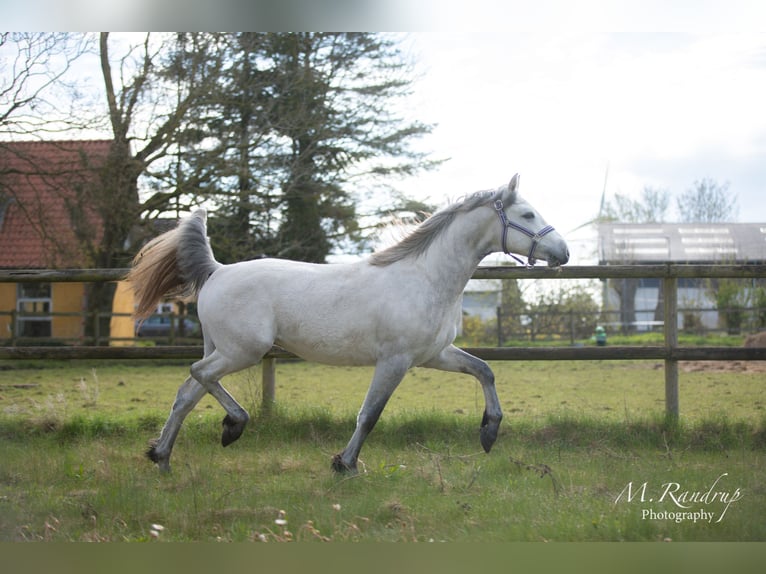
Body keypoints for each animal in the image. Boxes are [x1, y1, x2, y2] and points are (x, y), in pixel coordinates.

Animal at [127, 174, 568, 472]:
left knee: (188, 392)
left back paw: (162, 456)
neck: (425, 278)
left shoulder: (434, 354)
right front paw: (345, 463)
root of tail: (216, 271)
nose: (562, 252)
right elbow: (369, 414)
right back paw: (232, 425)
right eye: (527, 213)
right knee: (198, 375)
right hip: (242, 351)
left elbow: (485, 370)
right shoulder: (395, 360)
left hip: (223, 349)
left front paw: (489, 432)